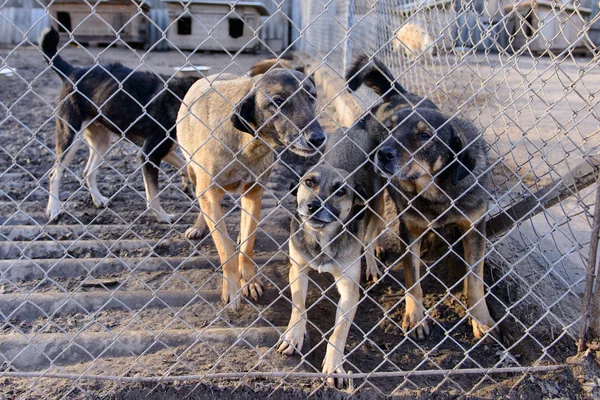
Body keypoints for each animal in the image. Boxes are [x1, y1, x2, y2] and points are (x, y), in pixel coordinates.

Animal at [376, 107, 496, 340]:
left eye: (425, 135)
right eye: (388, 129)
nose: (383, 153)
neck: (437, 192)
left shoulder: (475, 229)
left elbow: (476, 281)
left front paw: (481, 320)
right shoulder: (409, 231)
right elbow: (413, 280)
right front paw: (415, 318)